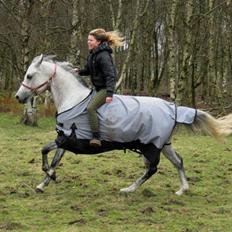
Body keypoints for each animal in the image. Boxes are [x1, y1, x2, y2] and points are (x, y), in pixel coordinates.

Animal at [15, 54, 231, 194]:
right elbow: (53, 160)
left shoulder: (67, 138)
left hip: (150, 146)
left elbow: (44, 151)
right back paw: (182, 189)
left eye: (29, 75)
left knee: (152, 168)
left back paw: (129, 189)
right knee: (178, 161)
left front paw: (51, 177)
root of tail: (172, 108)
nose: (18, 97)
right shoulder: (65, 139)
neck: (73, 99)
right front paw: (43, 183)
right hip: (163, 144)